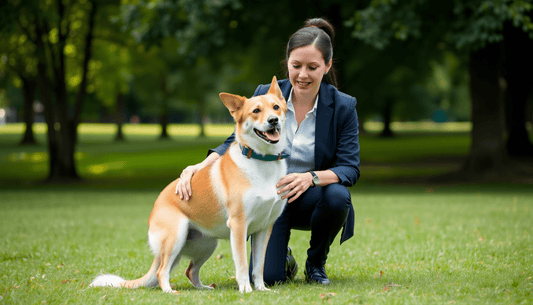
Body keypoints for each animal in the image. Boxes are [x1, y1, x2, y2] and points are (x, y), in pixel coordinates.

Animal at [92, 75, 290, 292]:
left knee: (190, 270)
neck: (262, 161)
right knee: (162, 271)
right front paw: (246, 289)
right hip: (175, 237)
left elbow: (259, 265)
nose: (273, 120)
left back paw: (203, 288)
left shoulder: (264, 228)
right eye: (256, 111)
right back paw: (170, 291)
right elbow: (242, 264)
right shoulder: (238, 226)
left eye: (276, 107)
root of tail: (157, 203)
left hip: (207, 244)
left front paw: (261, 289)